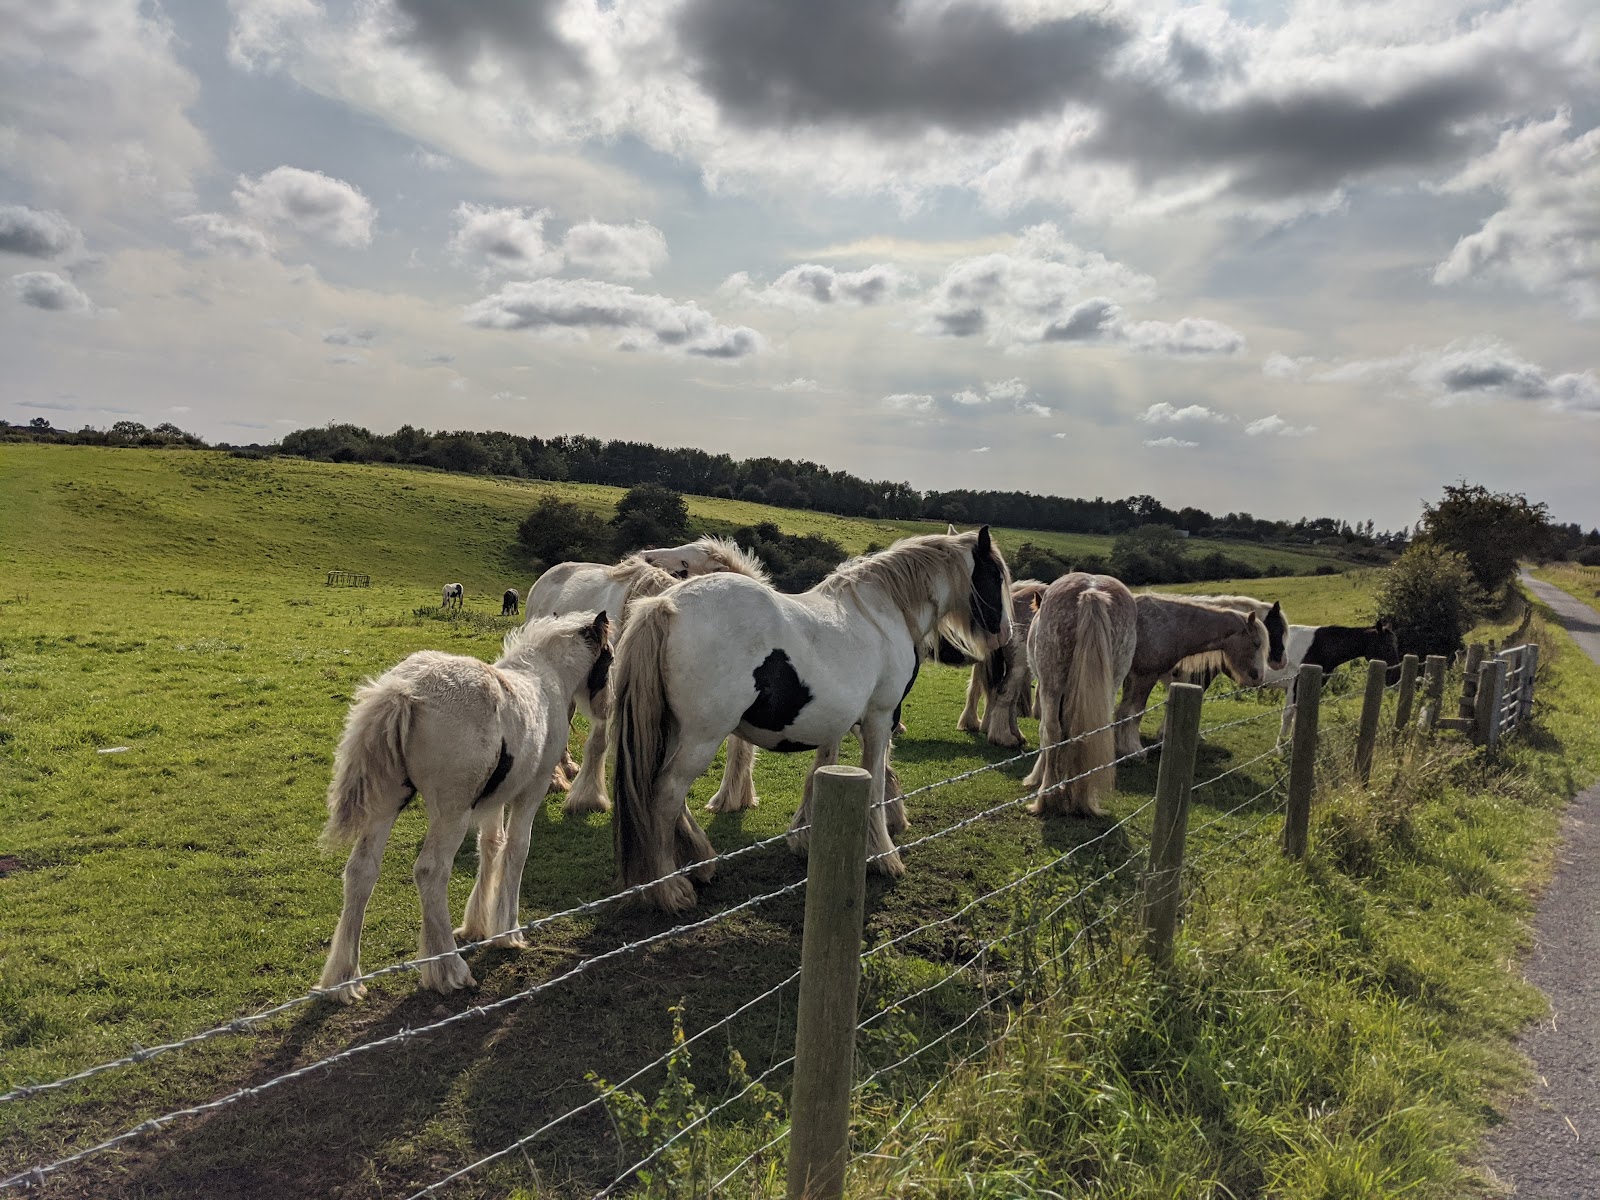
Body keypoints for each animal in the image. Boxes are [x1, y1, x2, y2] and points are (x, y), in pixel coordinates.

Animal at [316, 611, 612, 1001]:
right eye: (609, 657)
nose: (607, 707)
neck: (544, 677)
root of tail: (404, 691)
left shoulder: (494, 799)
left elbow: (491, 846)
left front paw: (476, 926)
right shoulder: (530, 791)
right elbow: (517, 849)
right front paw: (508, 931)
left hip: (386, 802)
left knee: (360, 871)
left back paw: (344, 980)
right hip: (451, 813)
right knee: (430, 871)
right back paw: (449, 970)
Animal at [524, 536, 772, 815]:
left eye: (686, 562)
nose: (645, 555)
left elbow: (738, 747)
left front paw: (732, 797)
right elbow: (599, 742)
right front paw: (587, 798)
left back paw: (566, 767)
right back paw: (556, 779)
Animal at [608, 527, 1013, 912]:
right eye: (996, 575)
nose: (1007, 634)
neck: (881, 613)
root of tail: (667, 605)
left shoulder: (836, 721)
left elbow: (821, 769)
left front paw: (807, 836)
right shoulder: (880, 718)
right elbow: (875, 784)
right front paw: (884, 856)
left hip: (676, 734)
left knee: (668, 798)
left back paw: (700, 864)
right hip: (701, 738)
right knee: (665, 796)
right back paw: (669, 890)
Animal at [1021, 574, 1139, 816]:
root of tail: (1091, 592)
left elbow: (1048, 732)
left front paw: (1036, 777)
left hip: (1052, 686)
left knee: (1051, 731)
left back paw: (1045, 798)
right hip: (1109, 685)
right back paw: (1079, 799)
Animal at [1114, 595, 1270, 756]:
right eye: (1256, 643)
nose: (1259, 677)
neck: (1169, 626)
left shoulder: (1133, 677)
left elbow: (1122, 710)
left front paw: (1123, 747)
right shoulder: (1144, 677)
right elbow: (1134, 712)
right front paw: (1134, 749)